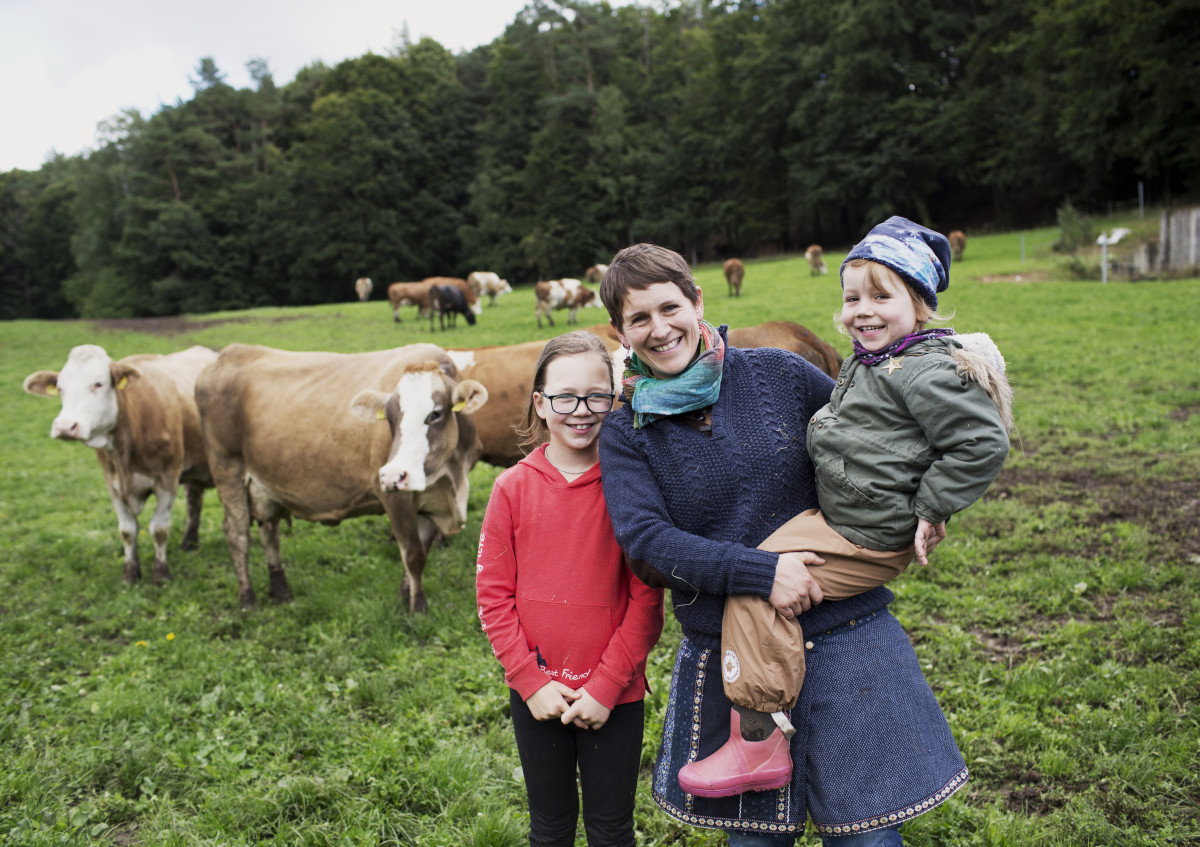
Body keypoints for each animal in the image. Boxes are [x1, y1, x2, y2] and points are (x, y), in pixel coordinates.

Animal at [22, 340, 217, 580]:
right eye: (60, 387)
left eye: (99, 383)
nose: (65, 427)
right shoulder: (112, 483)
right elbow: (127, 530)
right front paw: (130, 573)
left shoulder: (167, 479)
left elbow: (159, 529)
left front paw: (160, 573)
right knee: (194, 501)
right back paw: (189, 542)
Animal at [194, 343, 484, 614]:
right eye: (390, 418)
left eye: (435, 413)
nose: (393, 474)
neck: (451, 478)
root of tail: (228, 353)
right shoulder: (395, 497)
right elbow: (412, 555)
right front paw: (418, 608)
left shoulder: (433, 498)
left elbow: (420, 551)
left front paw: (405, 598)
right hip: (227, 466)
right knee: (238, 535)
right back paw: (247, 599)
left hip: (264, 484)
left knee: (269, 531)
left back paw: (280, 589)